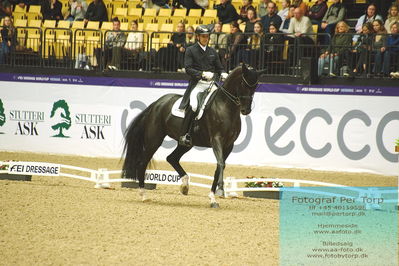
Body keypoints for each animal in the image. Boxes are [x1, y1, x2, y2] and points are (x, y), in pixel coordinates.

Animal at [122, 64, 260, 208]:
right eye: (243, 83)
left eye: (255, 86)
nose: (246, 110)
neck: (225, 107)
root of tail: (156, 103)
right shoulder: (216, 140)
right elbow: (221, 164)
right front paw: (220, 191)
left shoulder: (229, 145)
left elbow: (219, 166)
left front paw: (213, 198)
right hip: (154, 140)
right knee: (142, 163)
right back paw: (144, 195)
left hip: (186, 143)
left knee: (172, 158)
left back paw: (184, 186)